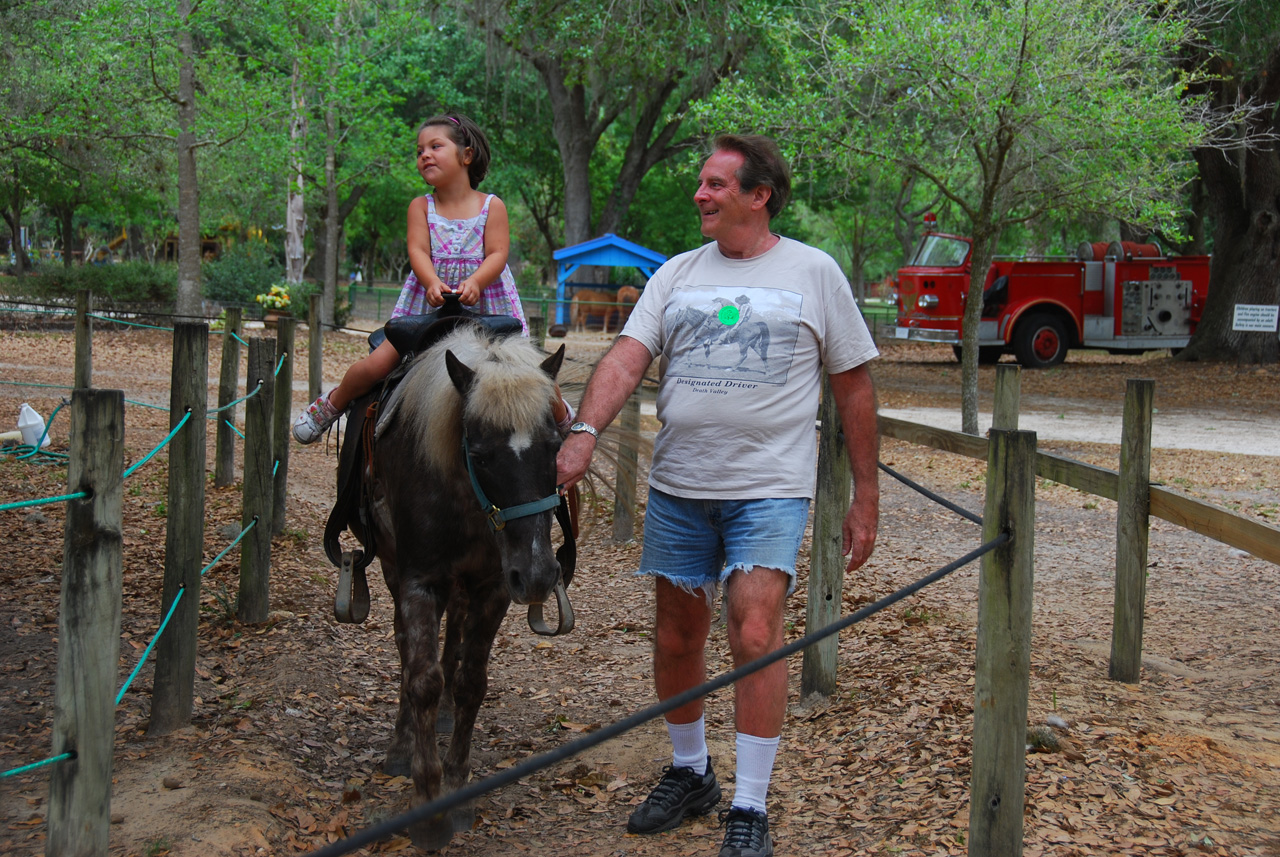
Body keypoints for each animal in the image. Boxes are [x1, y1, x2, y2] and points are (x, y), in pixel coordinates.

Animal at [350, 326, 570, 849]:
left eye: (554, 446)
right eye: (480, 454)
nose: (538, 575)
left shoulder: (493, 588)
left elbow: (471, 682)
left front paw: (456, 788)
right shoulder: (420, 583)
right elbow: (422, 679)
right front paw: (428, 807)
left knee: (451, 646)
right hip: (395, 570)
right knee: (409, 651)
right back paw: (401, 743)